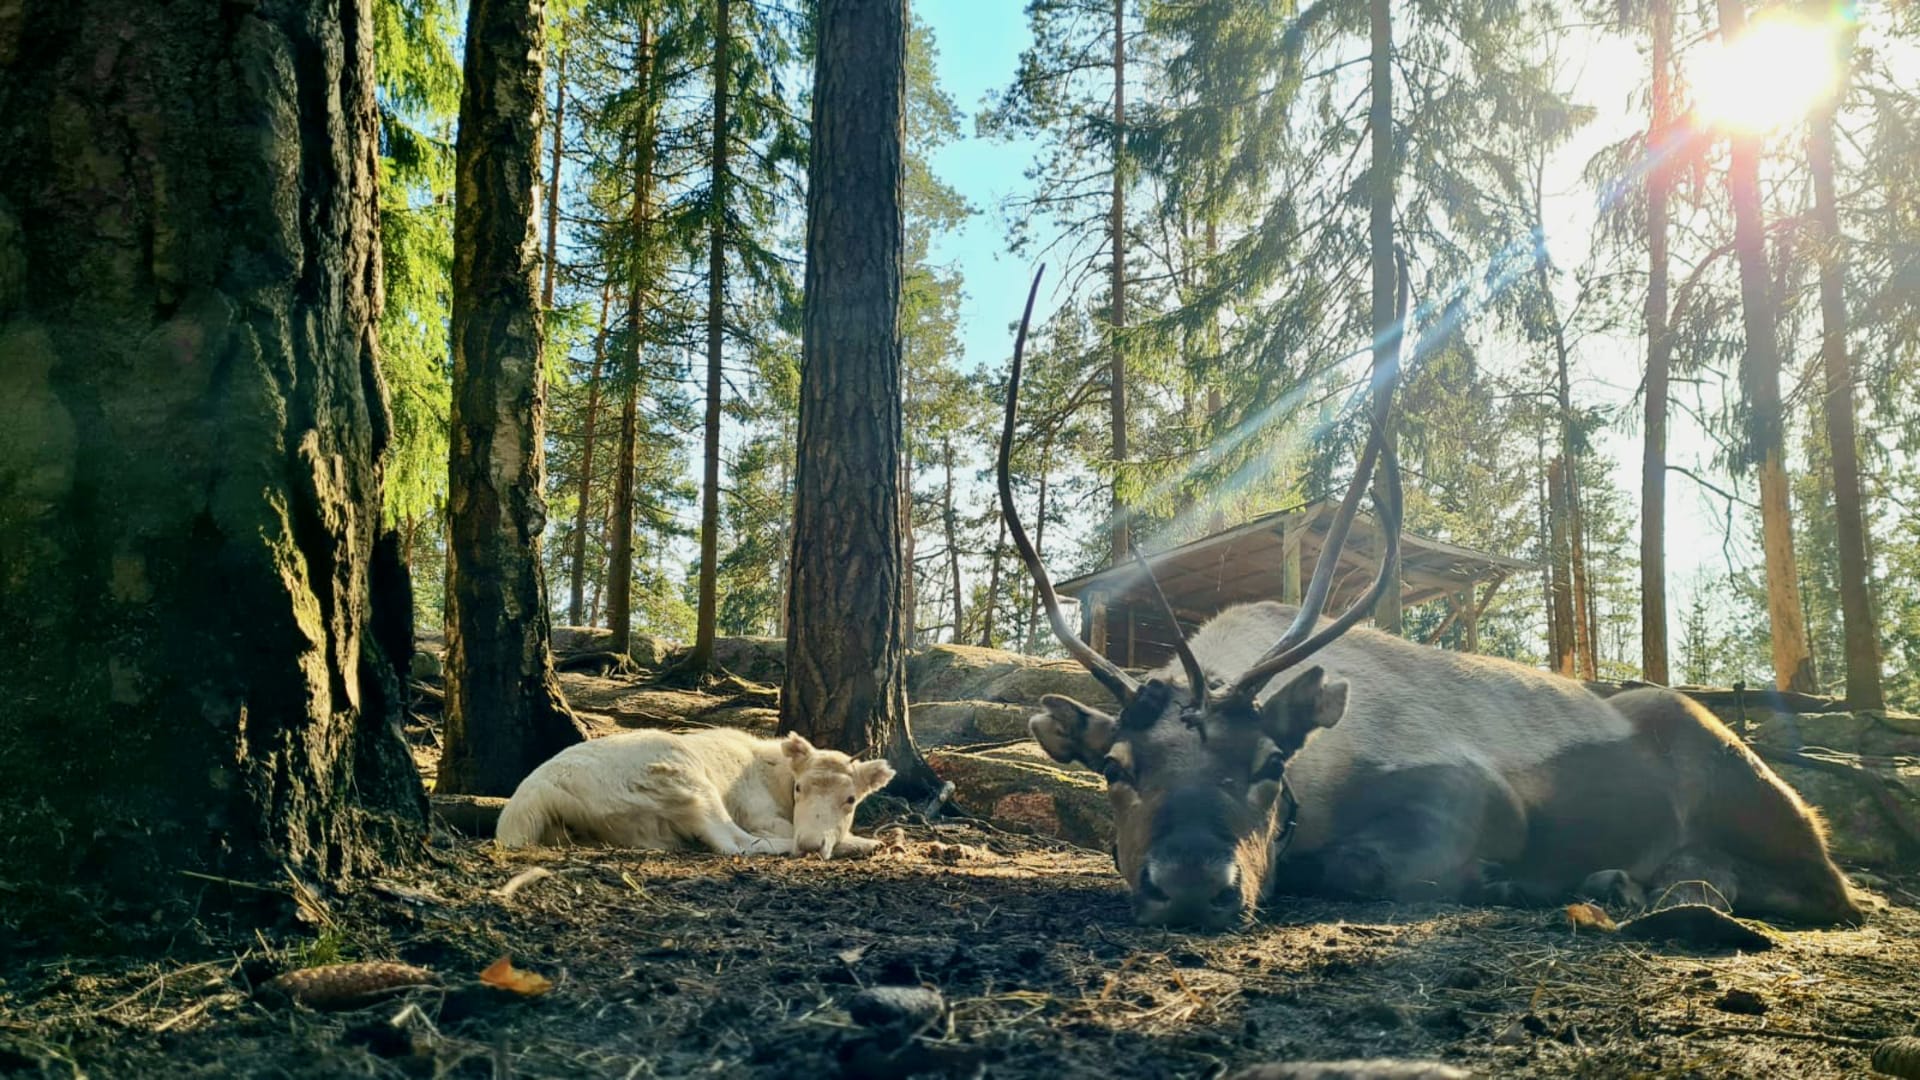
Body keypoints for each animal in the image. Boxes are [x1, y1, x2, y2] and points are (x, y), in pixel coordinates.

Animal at [487, 722, 890, 857]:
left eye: (850, 799)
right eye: (799, 788)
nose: (810, 844)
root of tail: (532, 795)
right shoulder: (757, 811)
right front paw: (861, 840)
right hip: (686, 781)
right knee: (734, 844)